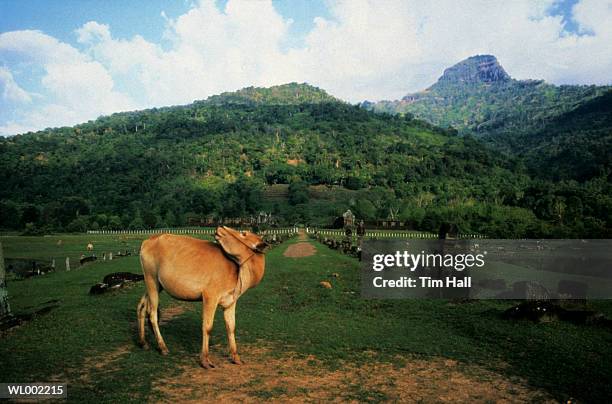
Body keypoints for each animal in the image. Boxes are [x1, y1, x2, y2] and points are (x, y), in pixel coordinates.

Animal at [139, 226, 268, 368]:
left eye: (243, 233)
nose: (220, 227)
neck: (238, 272)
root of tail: (148, 240)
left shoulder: (230, 302)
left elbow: (231, 327)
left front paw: (236, 357)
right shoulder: (210, 297)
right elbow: (207, 327)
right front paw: (205, 360)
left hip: (156, 285)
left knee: (142, 306)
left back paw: (143, 342)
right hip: (151, 279)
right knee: (152, 314)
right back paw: (163, 347)